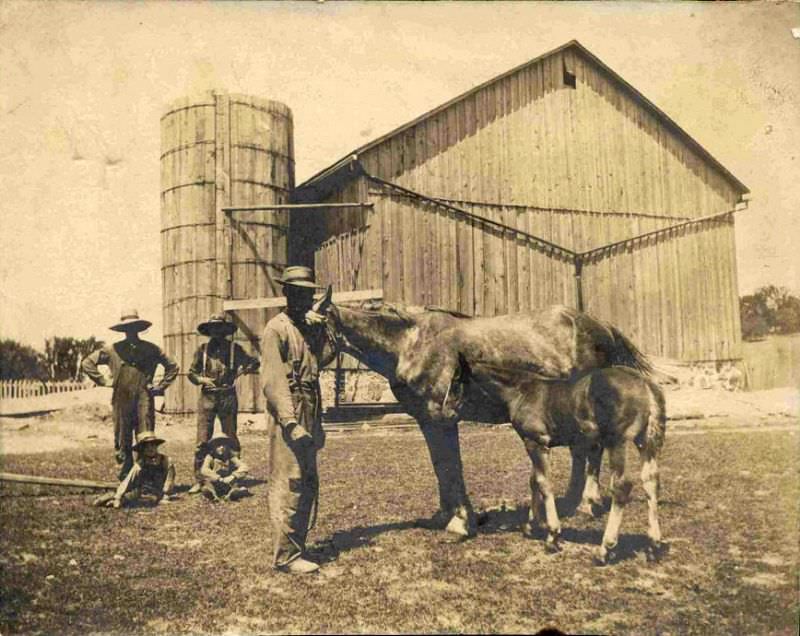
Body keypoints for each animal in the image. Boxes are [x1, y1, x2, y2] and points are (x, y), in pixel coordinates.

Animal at [318, 290, 664, 560]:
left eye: (309, 327)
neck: (411, 343)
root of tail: (601, 326)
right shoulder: (428, 421)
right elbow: (441, 467)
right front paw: (444, 516)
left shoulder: (443, 419)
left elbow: (452, 467)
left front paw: (460, 522)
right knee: (582, 454)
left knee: (591, 454)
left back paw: (587, 505)